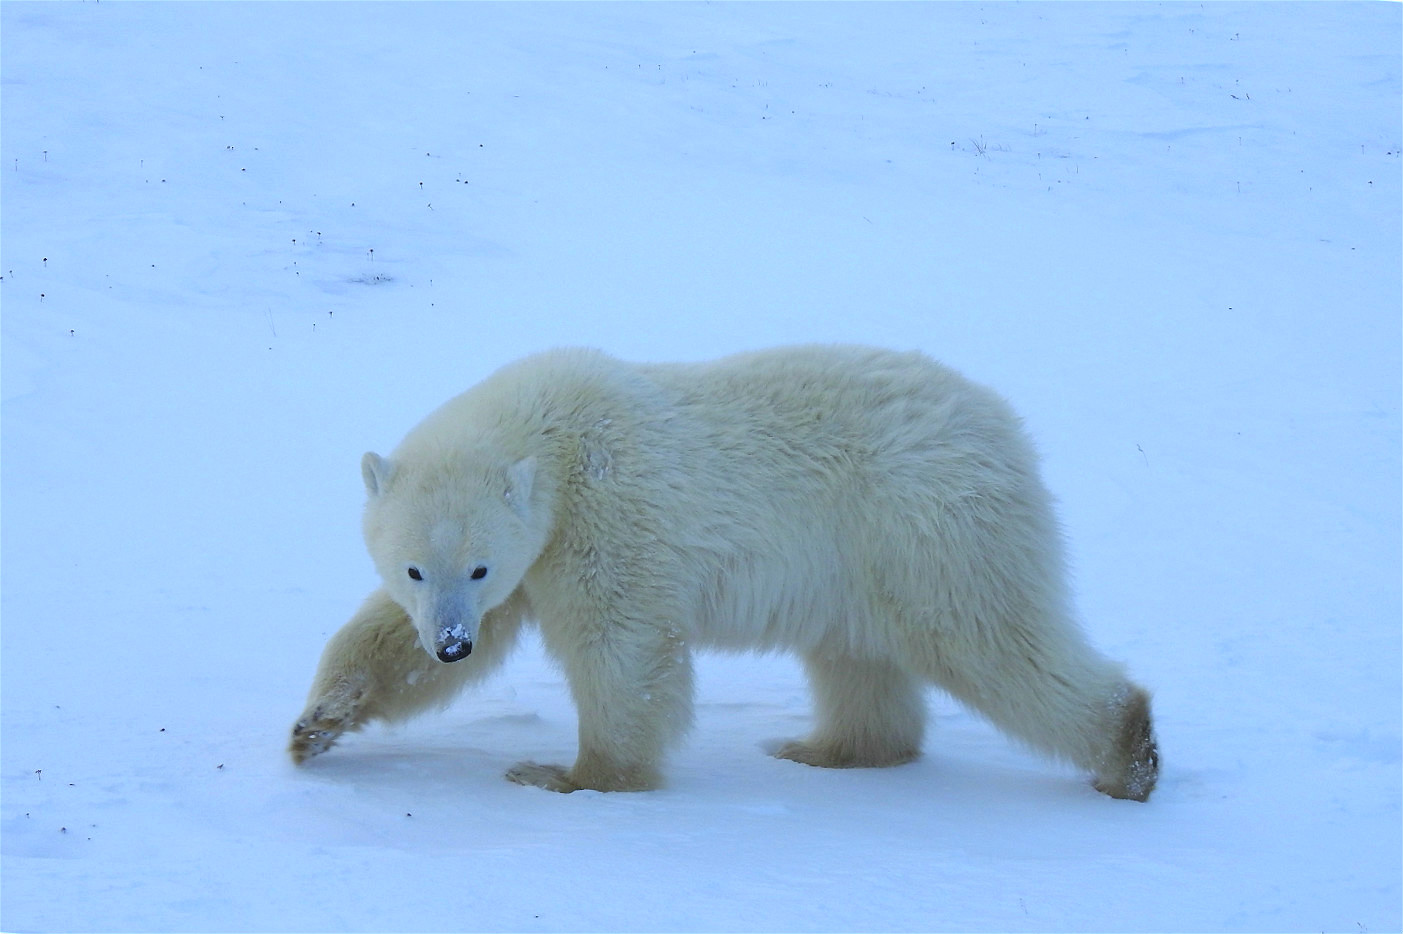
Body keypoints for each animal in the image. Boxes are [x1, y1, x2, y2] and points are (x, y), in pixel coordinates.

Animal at [287, 344, 1161, 796]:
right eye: (413, 570)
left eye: (476, 565)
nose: (450, 644)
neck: (553, 437)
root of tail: (1000, 426)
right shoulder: (533, 554)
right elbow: (394, 644)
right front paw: (315, 725)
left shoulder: (600, 516)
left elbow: (620, 649)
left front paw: (569, 775)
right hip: (860, 562)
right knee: (859, 658)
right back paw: (826, 749)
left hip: (923, 524)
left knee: (988, 639)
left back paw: (1127, 754)